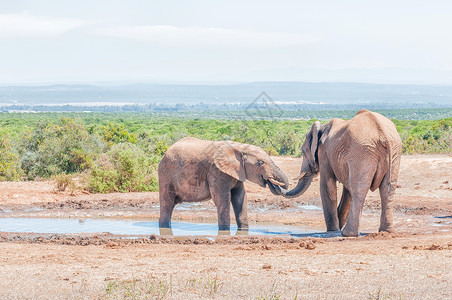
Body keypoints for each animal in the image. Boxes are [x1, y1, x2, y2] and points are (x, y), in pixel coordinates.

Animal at [157, 137, 288, 231]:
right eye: (260, 163)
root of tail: (167, 151)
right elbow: (222, 199)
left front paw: (243, 230)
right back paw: (164, 228)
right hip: (166, 175)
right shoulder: (216, 171)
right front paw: (225, 231)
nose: (271, 181)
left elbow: (240, 197)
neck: (239, 147)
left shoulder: (237, 172)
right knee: (167, 203)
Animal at [280, 109, 400, 237]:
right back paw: (386, 231)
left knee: (359, 190)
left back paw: (348, 234)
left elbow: (327, 187)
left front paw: (332, 230)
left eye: (303, 151)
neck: (322, 127)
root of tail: (383, 133)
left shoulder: (324, 154)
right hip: (393, 152)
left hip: (362, 151)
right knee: (387, 190)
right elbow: (347, 190)